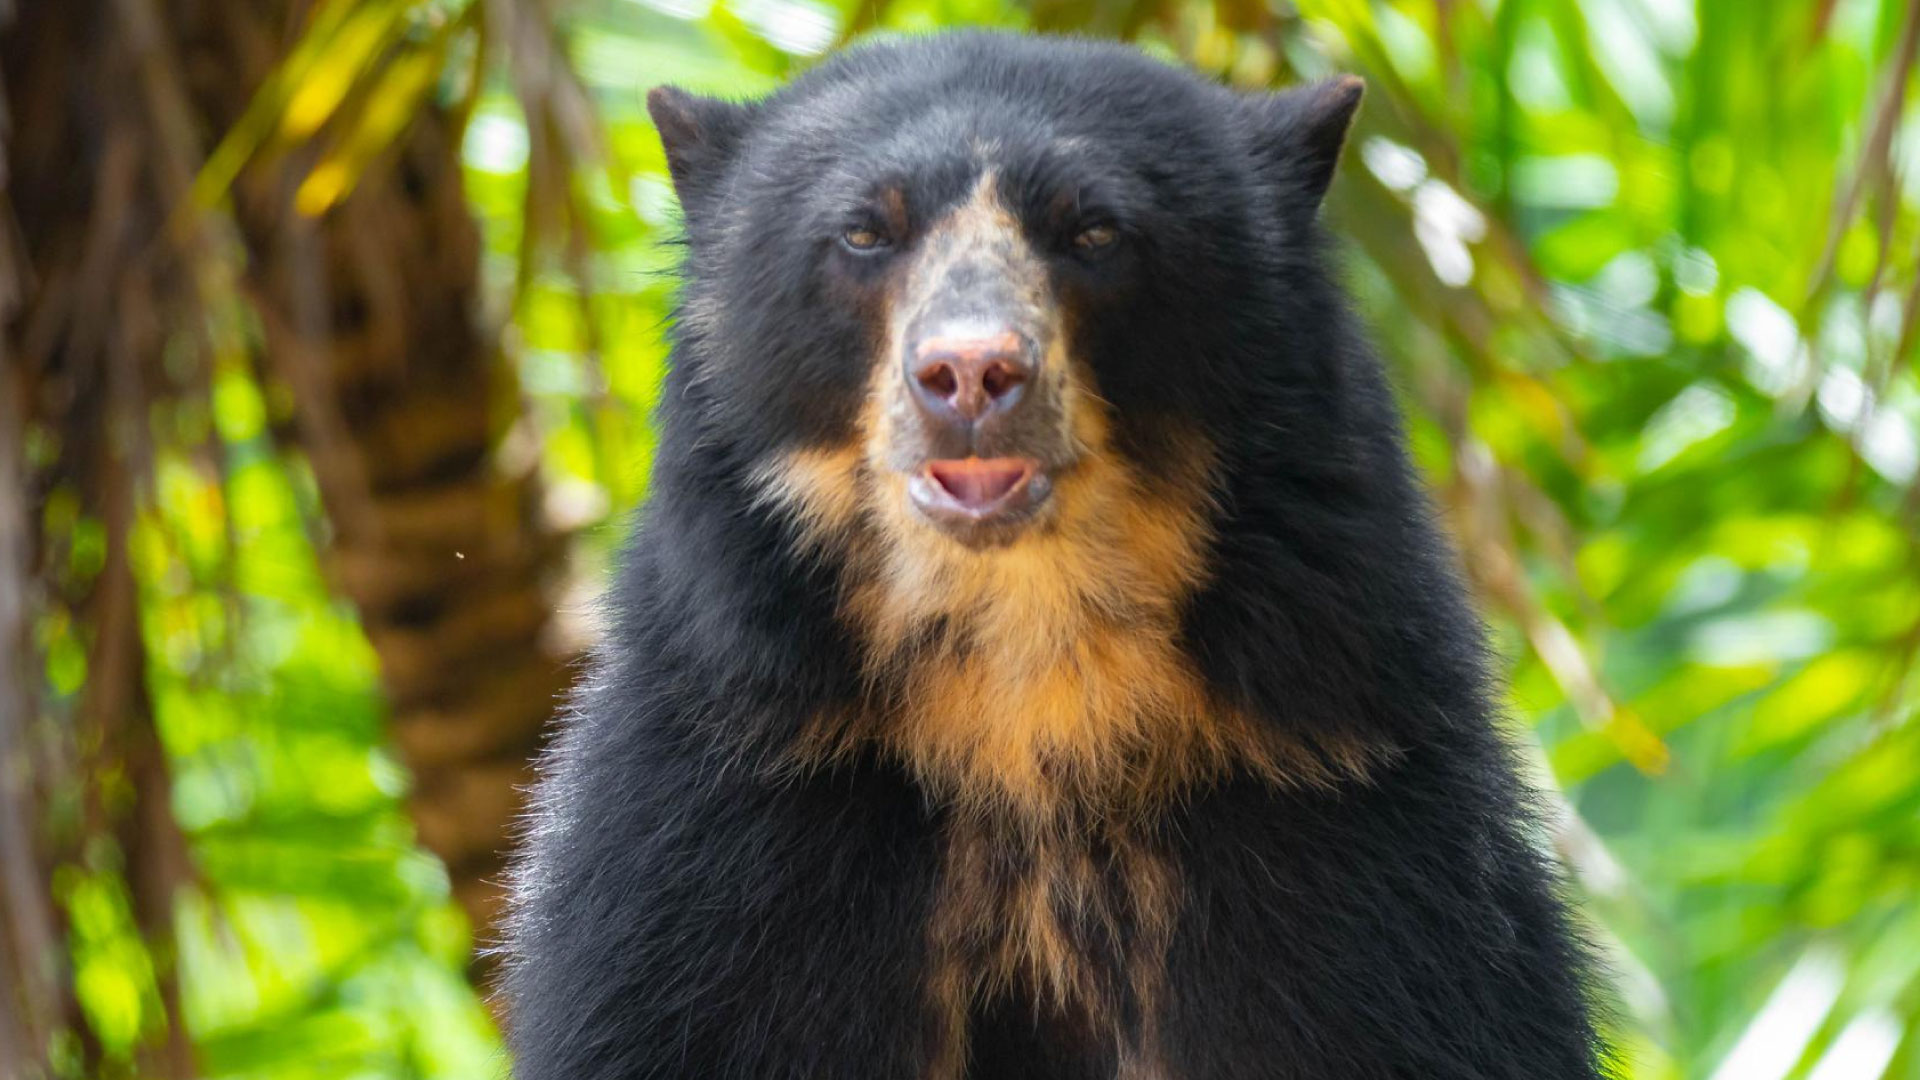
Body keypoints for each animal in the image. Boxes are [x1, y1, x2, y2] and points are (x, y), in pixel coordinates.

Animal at [502, 31, 1606, 1080]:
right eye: (866, 231)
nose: (970, 374)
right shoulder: (733, 808)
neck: (1028, 662)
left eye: (1095, 232)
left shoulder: (1343, 802)